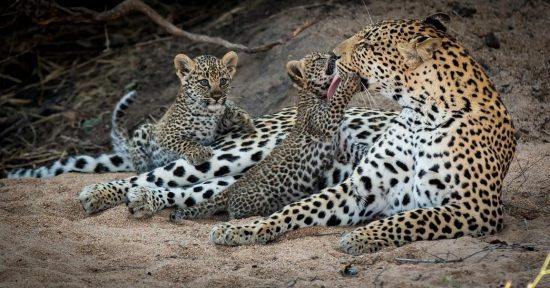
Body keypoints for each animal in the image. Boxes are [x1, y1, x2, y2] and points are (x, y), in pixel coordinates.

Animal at [209, 13, 520, 254]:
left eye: (367, 45)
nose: (333, 54)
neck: (420, 115)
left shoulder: (476, 206)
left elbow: (410, 219)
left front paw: (361, 236)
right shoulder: (362, 187)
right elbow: (295, 209)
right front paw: (245, 229)